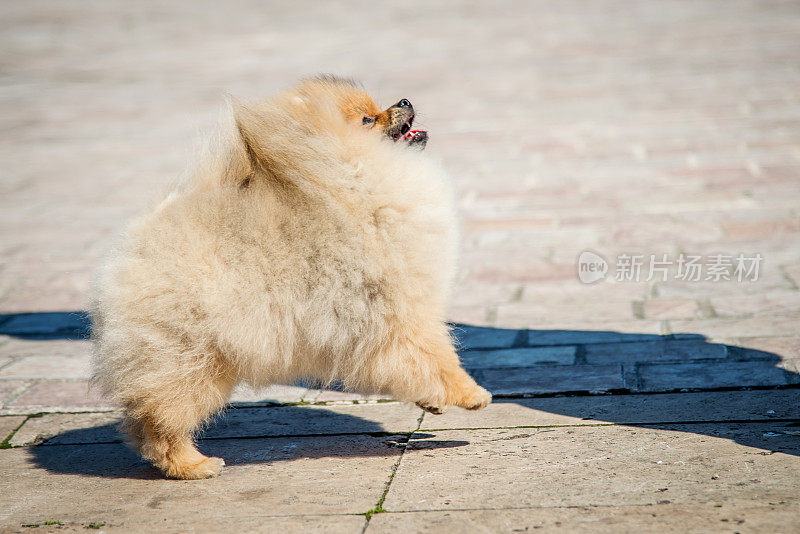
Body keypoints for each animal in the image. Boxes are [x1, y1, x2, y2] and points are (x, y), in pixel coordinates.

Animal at [94, 75, 494, 482]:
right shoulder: (402, 312)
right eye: (368, 119)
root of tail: (141, 239)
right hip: (191, 353)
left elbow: (417, 366)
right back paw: (192, 465)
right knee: (160, 415)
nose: (404, 100)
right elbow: (438, 358)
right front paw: (471, 395)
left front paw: (432, 401)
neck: (357, 177)